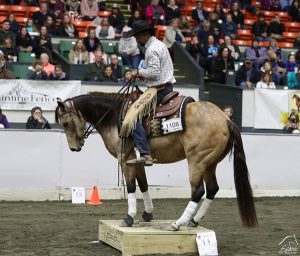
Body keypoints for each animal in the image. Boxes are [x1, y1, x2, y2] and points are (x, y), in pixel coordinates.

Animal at [55, 91, 256, 230]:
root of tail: (225, 119)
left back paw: (178, 223)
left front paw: (129, 217)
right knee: (213, 189)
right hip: (209, 163)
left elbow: (131, 187)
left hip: (197, 161)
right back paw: (193, 220)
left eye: (65, 123)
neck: (114, 116)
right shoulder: (136, 161)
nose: (74, 148)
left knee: (198, 191)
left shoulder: (124, 160)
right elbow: (143, 185)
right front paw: (147, 213)